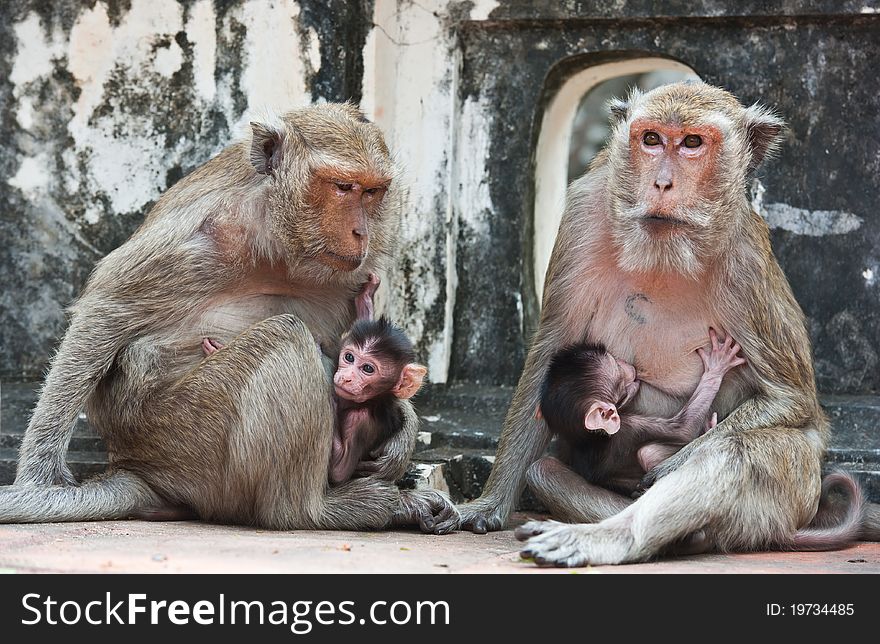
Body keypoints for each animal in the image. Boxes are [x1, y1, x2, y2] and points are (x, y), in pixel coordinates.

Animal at [204, 274, 430, 486]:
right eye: (349, 357)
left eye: (367, 368)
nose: (346, 378)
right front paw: (366, 298)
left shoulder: (361, 421)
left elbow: (339, 471)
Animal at [536, 330, 744, 496]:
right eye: (617, 368)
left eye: (615, 360)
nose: (623, 362)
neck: (589, 438)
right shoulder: (631, 426)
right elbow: (685, 429)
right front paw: (716, 367)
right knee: (648, 453)